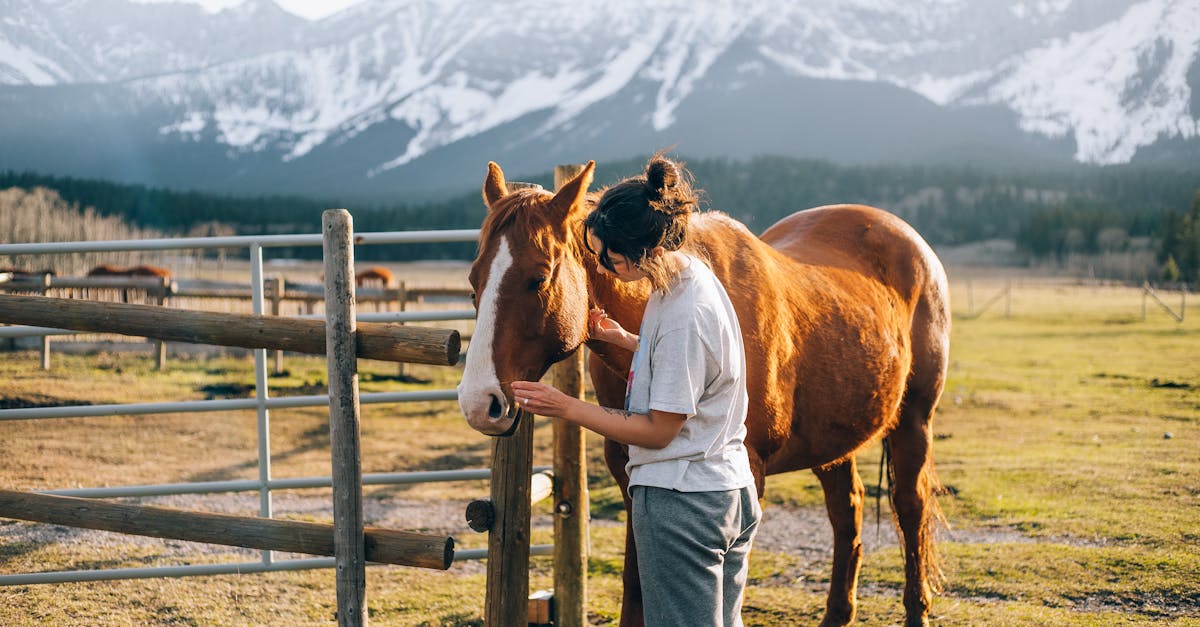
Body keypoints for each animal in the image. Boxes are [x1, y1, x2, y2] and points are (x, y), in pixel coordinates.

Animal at [453, 162, 950, 624]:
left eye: (538, 279)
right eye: (474, 282)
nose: (479, 403)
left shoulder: (748, 471)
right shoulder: (630, 475)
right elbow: (636, 584)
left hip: (913, 421)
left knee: (910, 508)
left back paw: (917, 609)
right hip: (834, 440)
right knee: (848, 510)